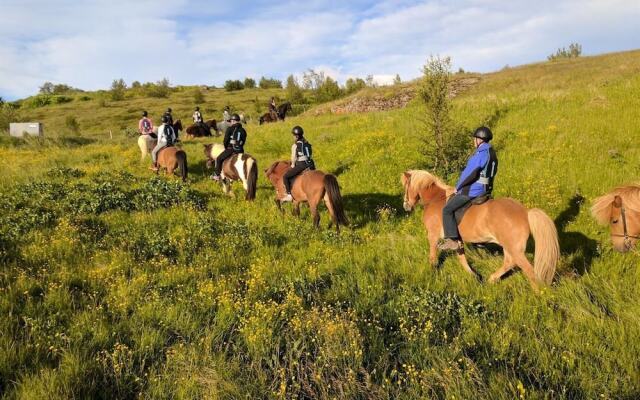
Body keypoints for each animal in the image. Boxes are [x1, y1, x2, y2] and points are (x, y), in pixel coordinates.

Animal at [402, 170, 556, 290]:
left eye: (406, 187)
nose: (406, 206)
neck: (435, 199)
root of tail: (525, 212)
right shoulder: (457, 240)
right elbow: (462, 259)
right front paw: (474, 276)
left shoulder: (433, 236)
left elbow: (433, 257)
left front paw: (431, 273)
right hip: (509, 246)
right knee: (509, 262)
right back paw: (491, 279)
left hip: (514, 248)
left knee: (529, 271)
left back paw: (539, 295)